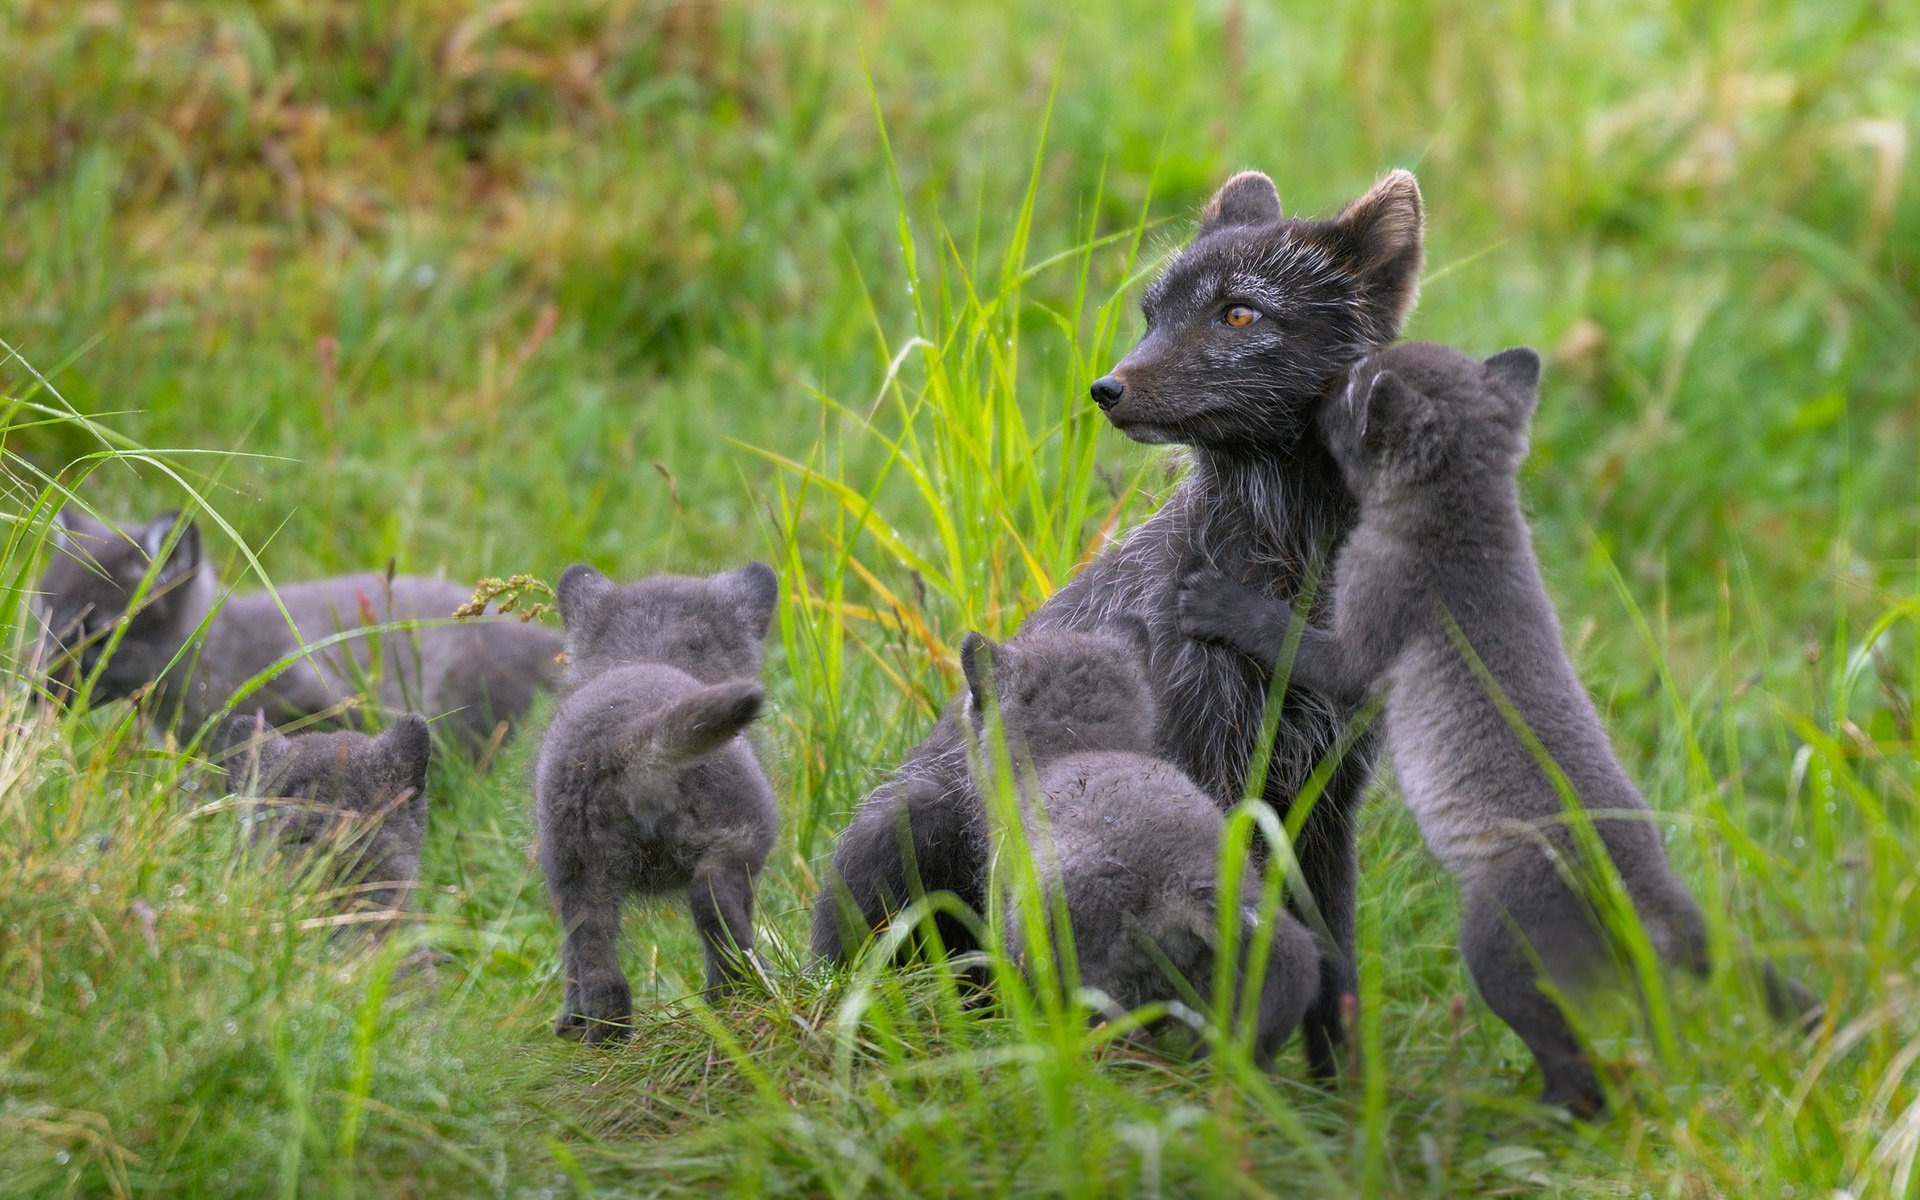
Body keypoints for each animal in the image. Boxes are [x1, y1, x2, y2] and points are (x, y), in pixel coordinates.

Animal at [535, 562, 780, 1043]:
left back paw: (605, 1036)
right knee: (711, 900)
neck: (649, 652)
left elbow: (569, 961)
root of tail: (630, 736)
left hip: (578, 875)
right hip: (744, 836)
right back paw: (743, 989)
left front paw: (569, 1019)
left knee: (598, 969)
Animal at [1177, 341, 1714, 1114]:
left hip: (1495, 955)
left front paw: (1215, 600)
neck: (1470, 524)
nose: (1317, 391)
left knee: (1579, 1073)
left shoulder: (1355, 647)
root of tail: (1642, 877)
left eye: (1346, 386)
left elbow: (1282, 634)